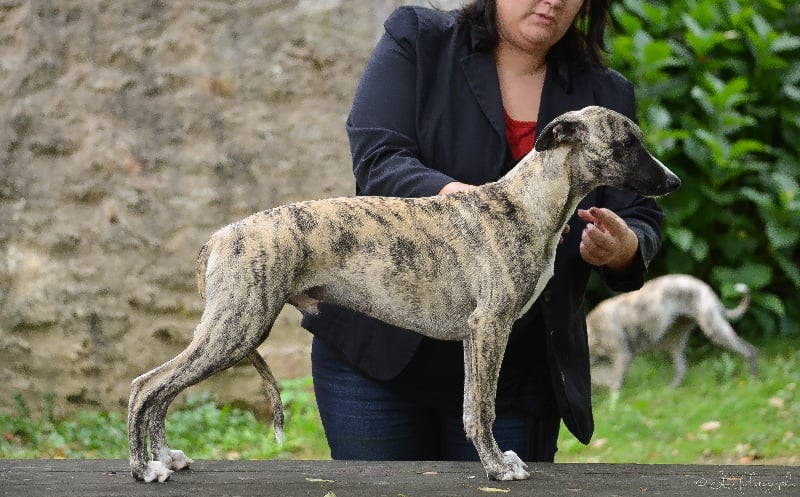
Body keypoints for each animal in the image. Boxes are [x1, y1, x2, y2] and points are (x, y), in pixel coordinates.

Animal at [128, 105, 680, 480]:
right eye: (627, 143)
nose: (673, 182)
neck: (523, 204)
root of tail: (221, 237)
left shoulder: (476, 336)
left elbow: (472, 407)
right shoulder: (489, 327)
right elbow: (481, 408)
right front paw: (498, 467)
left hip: (230, 327)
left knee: (161, 389)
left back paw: (167, 458)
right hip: (237, 327)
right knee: (146, 386)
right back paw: (145, 467)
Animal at [588, 272, 756, 392]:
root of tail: (704, 287)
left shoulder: (622, 356)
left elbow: (615, 385)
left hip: (715, 330)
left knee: (750, 350)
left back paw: (753, 379)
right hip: (675, 341)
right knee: (682, 369)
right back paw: (671, 390)